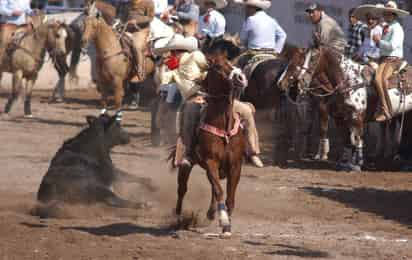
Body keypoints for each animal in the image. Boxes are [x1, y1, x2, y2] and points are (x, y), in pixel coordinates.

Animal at [169, 50, 246, 238]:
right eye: (217, 66)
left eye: (232, 63)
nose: (240, 77)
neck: (224, 128)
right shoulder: (211, 161)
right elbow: (219, 190)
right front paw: (224, 221)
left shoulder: (235, 164)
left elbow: (229, 196)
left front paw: (227, 223)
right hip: (186, 164)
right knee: (182, 189)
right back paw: (178, 217)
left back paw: (211, 214)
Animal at [278, 46, 412, 171]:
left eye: (312, 59)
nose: (280, 83)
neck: (350, 82)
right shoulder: (340, 118)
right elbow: (346, 140)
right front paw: (345, 163)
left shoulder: (356, 118)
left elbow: (357, 140)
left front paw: (357, 164)